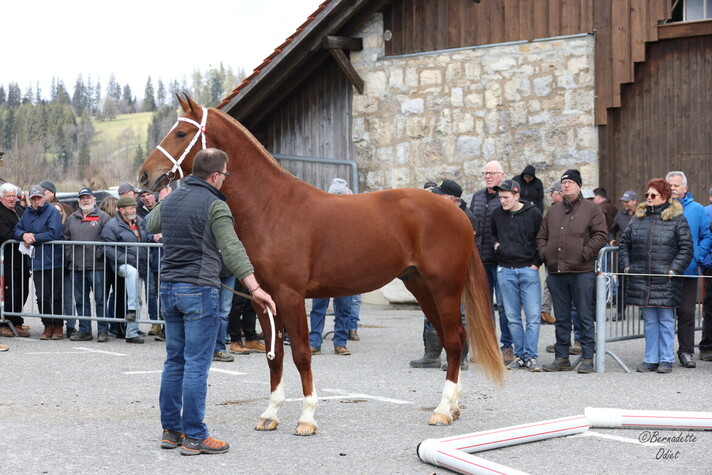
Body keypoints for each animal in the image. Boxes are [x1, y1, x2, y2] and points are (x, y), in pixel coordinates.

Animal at [138, 95, 503, 436]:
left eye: (181, 132)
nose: (144, 176)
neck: (271, 208)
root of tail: (457, 212)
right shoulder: (261, 299)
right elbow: (274, 356)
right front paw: (270, 414)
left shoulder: (290, 295)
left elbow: (301, 353)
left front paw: (306, 418)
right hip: (421, 286)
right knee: (450, 338)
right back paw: (453, 407)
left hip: (445, 288)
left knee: (454, 340)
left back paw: (442, 410)